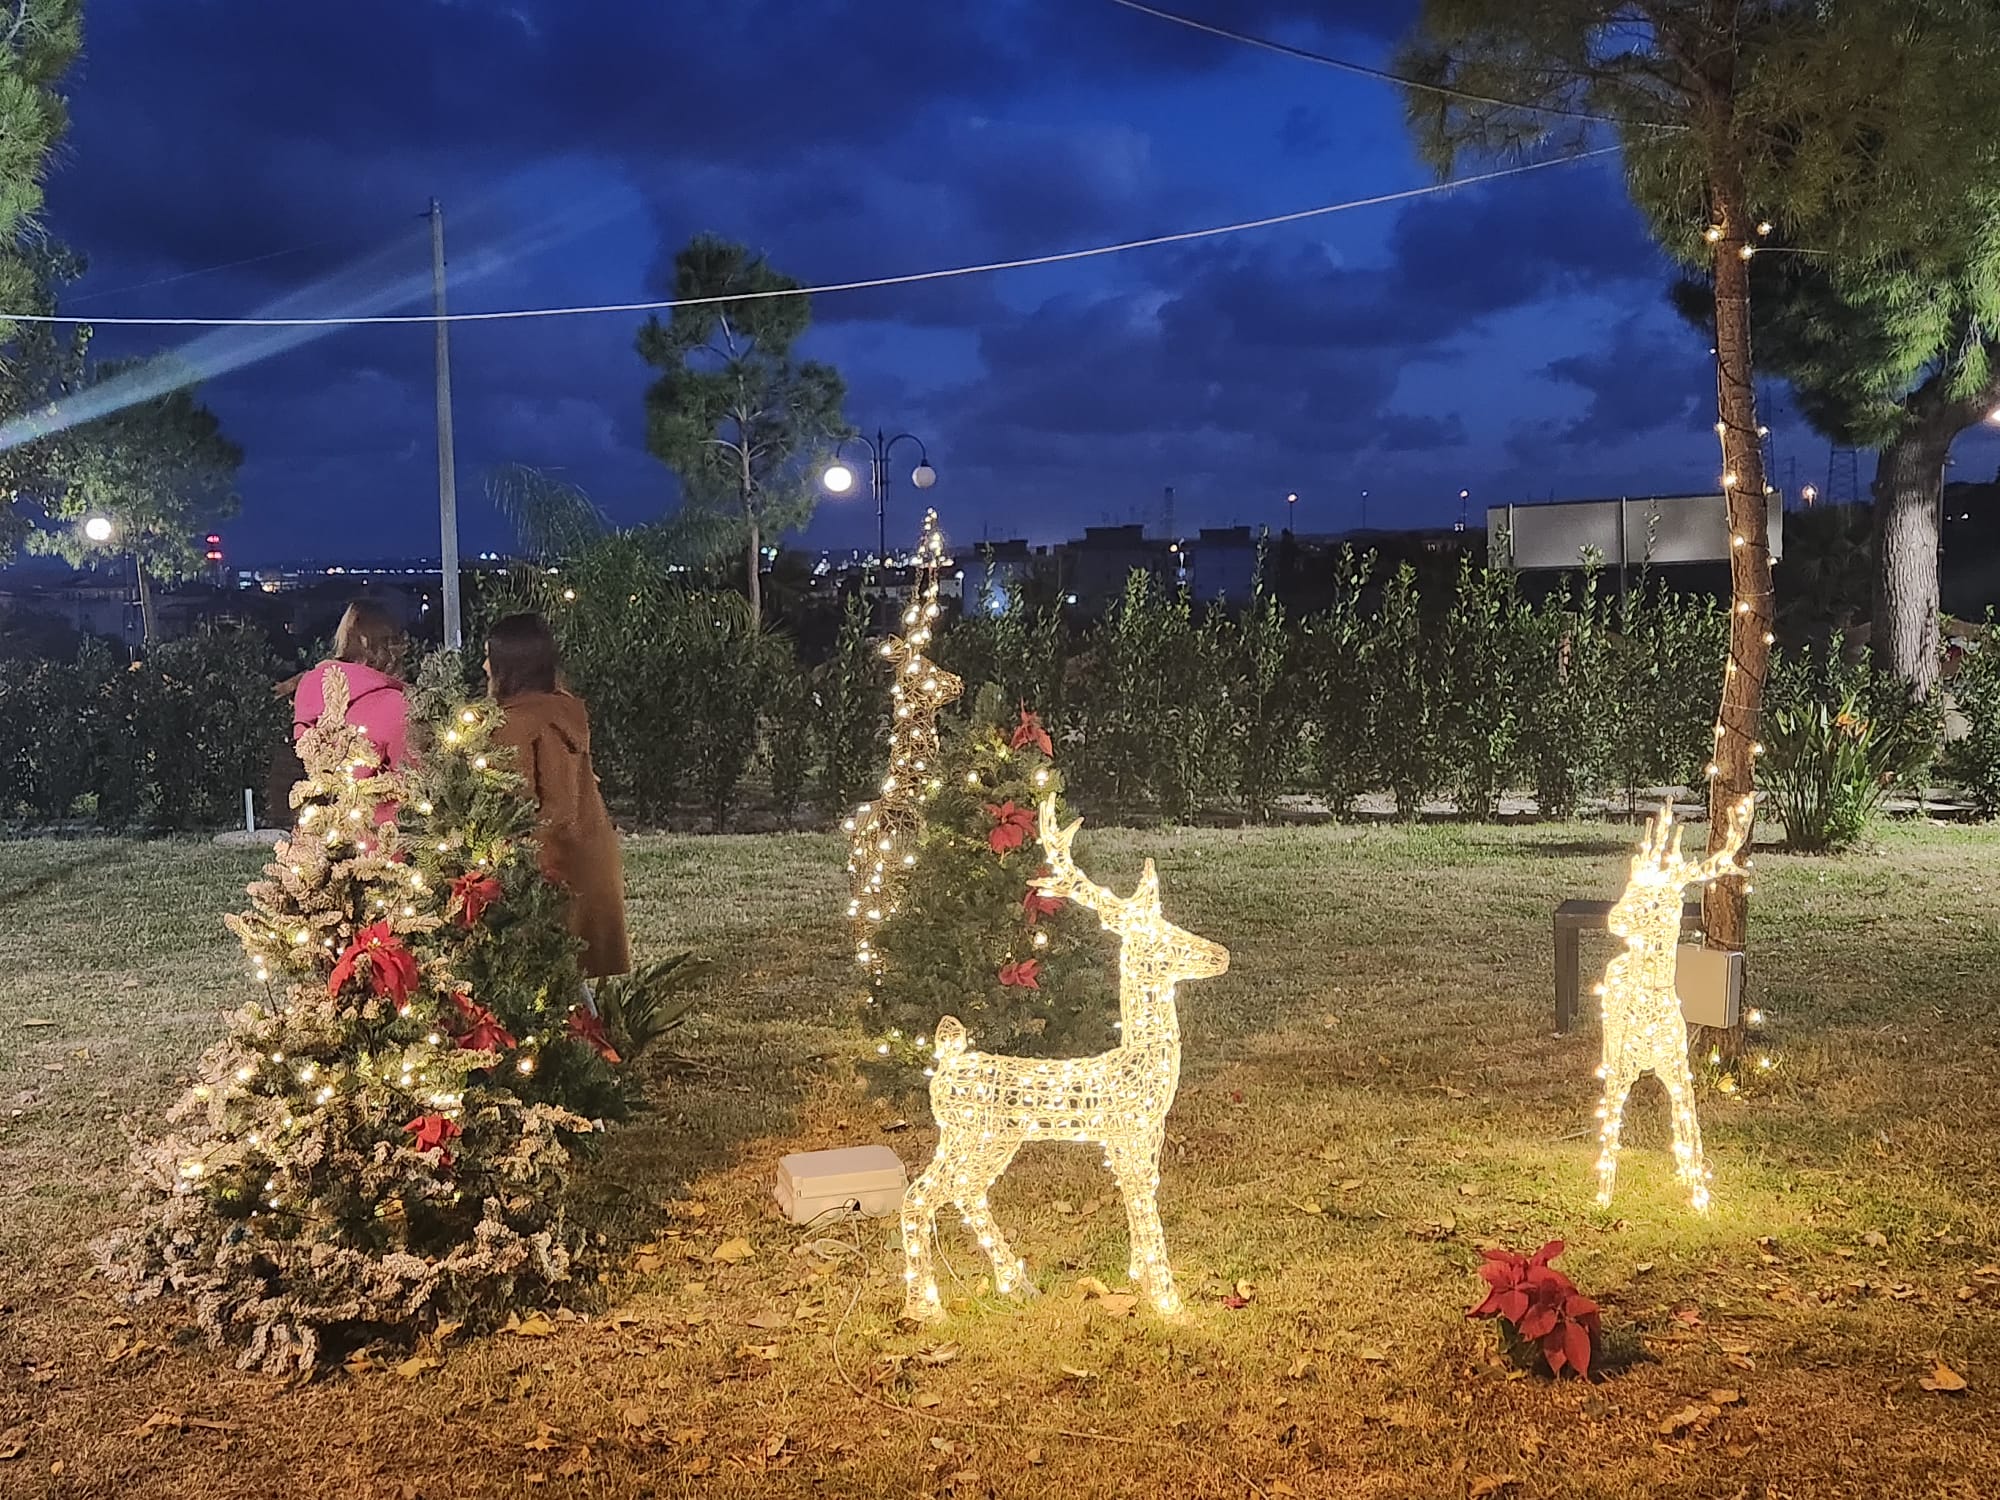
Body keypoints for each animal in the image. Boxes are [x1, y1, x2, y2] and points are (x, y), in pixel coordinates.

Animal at [904, 804, 1216, 1320]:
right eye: (1157, 938)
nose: (1219, 955)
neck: (1139, 1062)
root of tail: (945, 1062)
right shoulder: (1128, 1132)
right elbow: (1142, 1201)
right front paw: (1170, 1304)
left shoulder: (1146, 1135)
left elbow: (1142, 1194)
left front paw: (1139, 1279)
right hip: (968, 1134)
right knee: (921, 1195)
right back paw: (926, 1308)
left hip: (987, 1139)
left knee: (966, 1191)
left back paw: (1017, 1286)